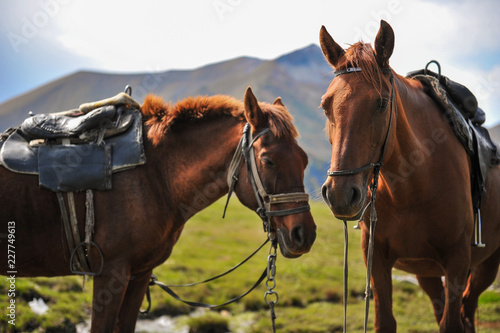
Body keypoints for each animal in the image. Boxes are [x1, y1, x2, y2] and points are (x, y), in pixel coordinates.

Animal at [0, 87, 316, 330]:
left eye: (304, 160)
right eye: (268, 160)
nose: (305, 235)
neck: (156, 176)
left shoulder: (138, 275)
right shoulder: (110, 274)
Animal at [318, 20, 500, 332]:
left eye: (381, 103)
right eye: (325, 106)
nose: (339, 194)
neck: (411, 187)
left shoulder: (457, 261)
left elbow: (451, 323)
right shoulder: (376, 258)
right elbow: (385, 321)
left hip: (486, 264)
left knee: (467, 308)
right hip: (427, 273)